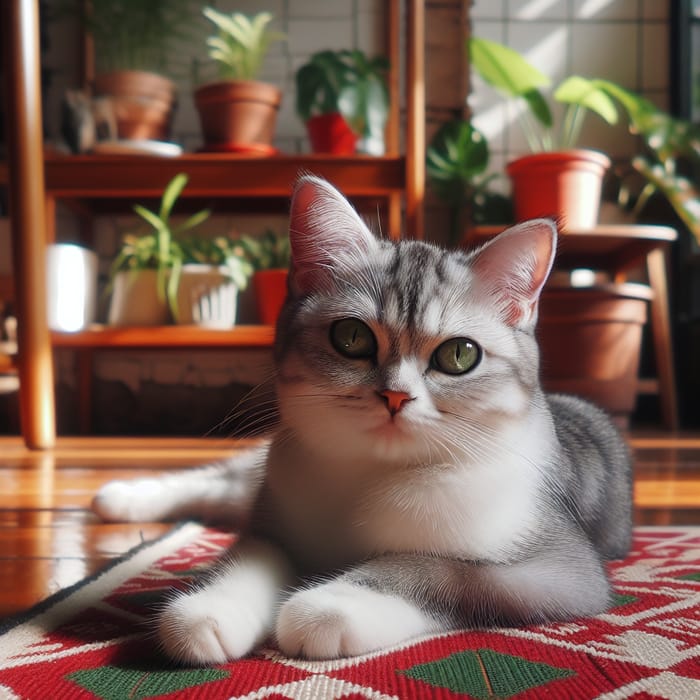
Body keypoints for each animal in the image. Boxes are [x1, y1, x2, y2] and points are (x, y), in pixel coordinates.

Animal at [90, 174, 632, 660]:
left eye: (459, 355)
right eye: (351, 337)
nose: (395, 396)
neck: (370, 476)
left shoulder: (560, 571)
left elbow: (435, 568)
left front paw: (332, 605)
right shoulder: (276, 520)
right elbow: (250, 555)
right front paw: (208, 610)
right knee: (218, 480)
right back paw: (122, 497)